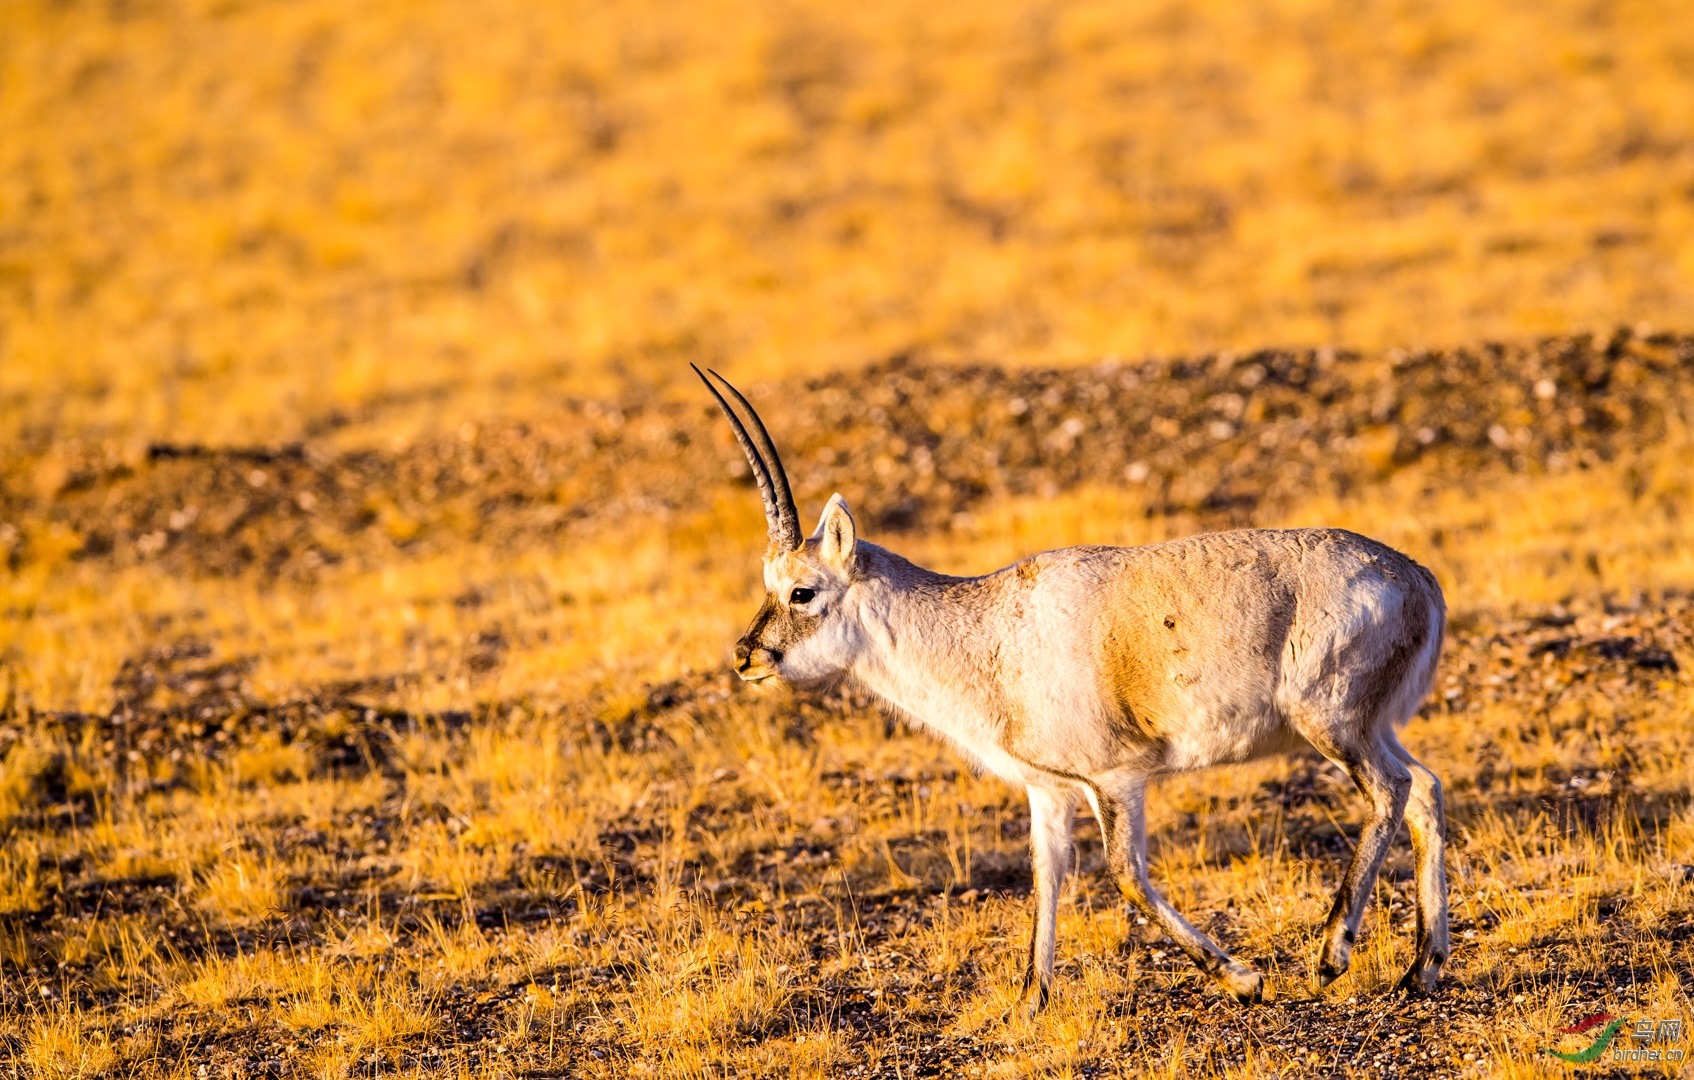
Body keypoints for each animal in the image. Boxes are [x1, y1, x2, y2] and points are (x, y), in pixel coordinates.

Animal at [694, 370, 1450, 1015]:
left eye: (802, 590)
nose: (745, 656)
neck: (988, 626)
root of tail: (1416, 578)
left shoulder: (1115, 778)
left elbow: (1125, 873)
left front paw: (1242, 978)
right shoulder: (1048, 789)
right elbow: (1046, 873)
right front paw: (1031, 1001)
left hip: (1333, 722)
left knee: (1391, 790)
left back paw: (1332, 954)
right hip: (1371, 725)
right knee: (1425, 788)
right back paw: (1422, 969)